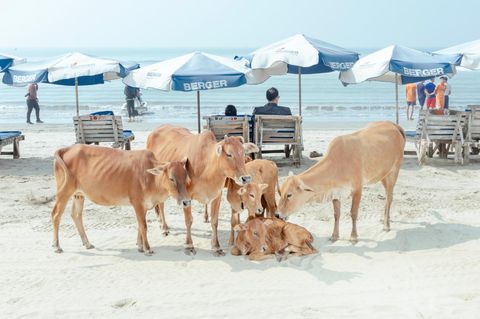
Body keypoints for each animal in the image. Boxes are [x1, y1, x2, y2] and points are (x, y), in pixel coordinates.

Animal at [50, 146, 189, 256]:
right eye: (171, 178)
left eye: (185, 176)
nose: (186, 202)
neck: (151, 178)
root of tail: (66, 148)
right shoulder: (137, 202)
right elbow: (143, 226)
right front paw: (147, 248)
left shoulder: (144, 205)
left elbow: (140, 225)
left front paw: (140, 245)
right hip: (64, 191)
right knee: (56, 215)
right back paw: (57, 246)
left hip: (79, 194)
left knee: (76, 215)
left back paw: (87, 243)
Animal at [146, 125, 258, 258]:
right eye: (229, 154)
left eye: (243, 153)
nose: (246, 178)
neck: (207, 168)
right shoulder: (186, 197)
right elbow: (188, 221)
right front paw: (189, 246)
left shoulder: (217, 195)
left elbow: (214, 221)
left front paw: (216, 247)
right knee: (161, 205)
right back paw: (164, 227)